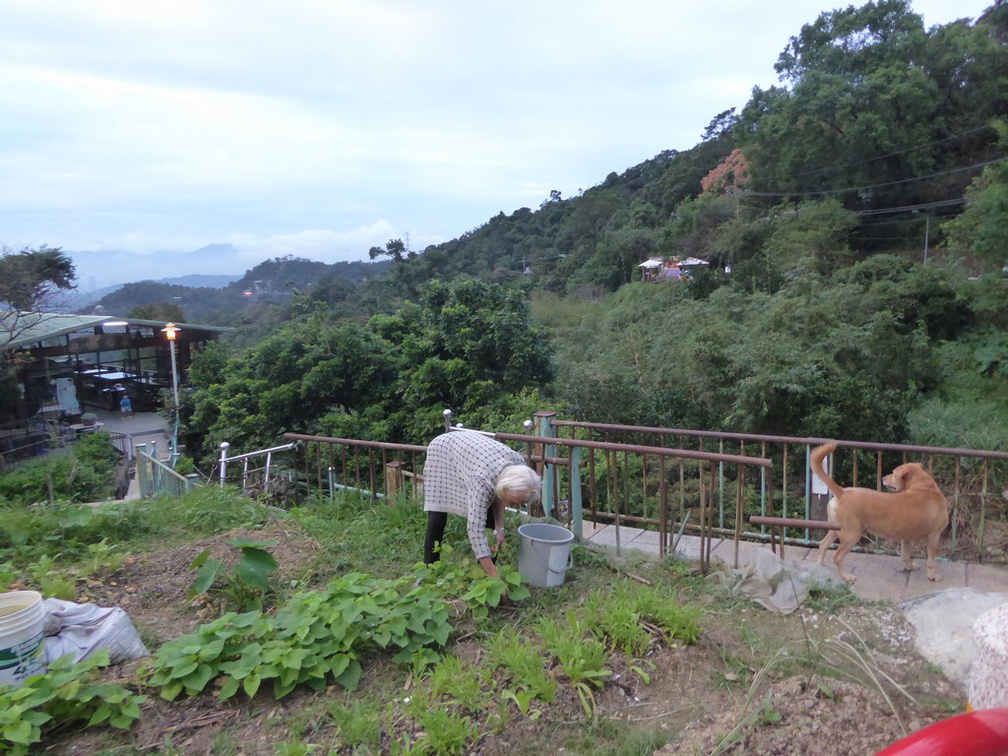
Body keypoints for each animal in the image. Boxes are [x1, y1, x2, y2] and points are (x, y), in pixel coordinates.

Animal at [810, 443, 943, 584]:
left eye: (893, 473)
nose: (883, 478)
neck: (923, 486)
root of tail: (842, 492)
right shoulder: (934, 536)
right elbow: (931, 561)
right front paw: (933, 576)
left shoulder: (907, 538)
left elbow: (906, 555)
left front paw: (910, 566)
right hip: (851, 535)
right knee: (837, 556)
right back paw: (846, 576)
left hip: (835, 530)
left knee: (823, 544)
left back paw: (820, 566)